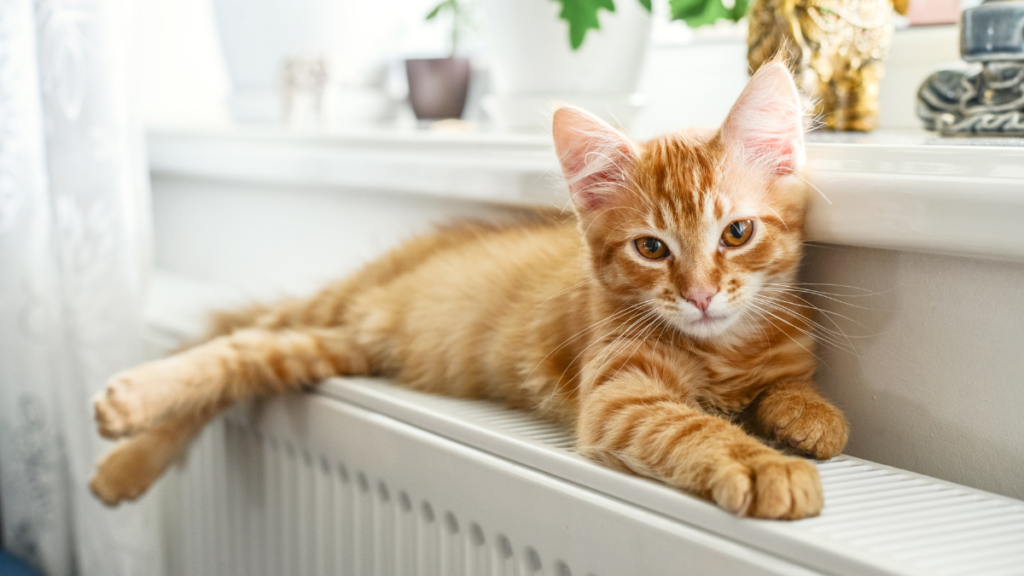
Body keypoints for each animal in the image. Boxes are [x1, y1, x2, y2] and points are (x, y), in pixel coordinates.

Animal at [90, 60, 847, 518]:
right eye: (652, 248)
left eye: (736, 233)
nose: (700, 295)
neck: (722, 350)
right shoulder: (622, 396)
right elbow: (699, 427)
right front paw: (764, 466)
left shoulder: (780, 357)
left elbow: (792, 386)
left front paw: (810, 418)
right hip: (330, 308)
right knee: (226, 345)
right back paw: (125, 415)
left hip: (330, 347)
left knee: (243, 361)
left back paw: (128, 460)